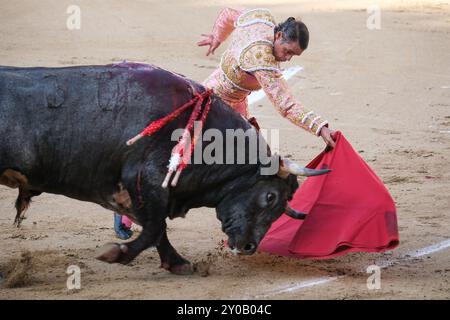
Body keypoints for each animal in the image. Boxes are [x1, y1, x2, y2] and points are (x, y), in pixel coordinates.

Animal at [0, 63, 324, 276]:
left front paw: (177, 263)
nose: (248, 247)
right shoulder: (146, 181)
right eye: (270, 197)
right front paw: (117, 253)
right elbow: (156, 226)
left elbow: (156, 228)